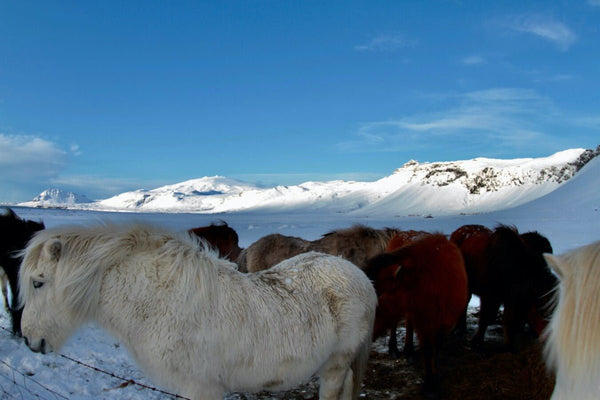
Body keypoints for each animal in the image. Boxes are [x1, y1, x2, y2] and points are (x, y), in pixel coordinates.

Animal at [19, 223, 376, 398]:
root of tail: (358, 275)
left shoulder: (204, 389)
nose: (28, 340)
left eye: (38, 283)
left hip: (335, 366)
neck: (164, 302)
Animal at [366, 234, 468, 394]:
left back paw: (408, 352)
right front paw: (430, 385)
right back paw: (395, 349)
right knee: (396, 325)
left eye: (380, 295)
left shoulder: (442, 323)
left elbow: (435, 349)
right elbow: (427, 350)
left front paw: (434, 377)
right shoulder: (424, 325)